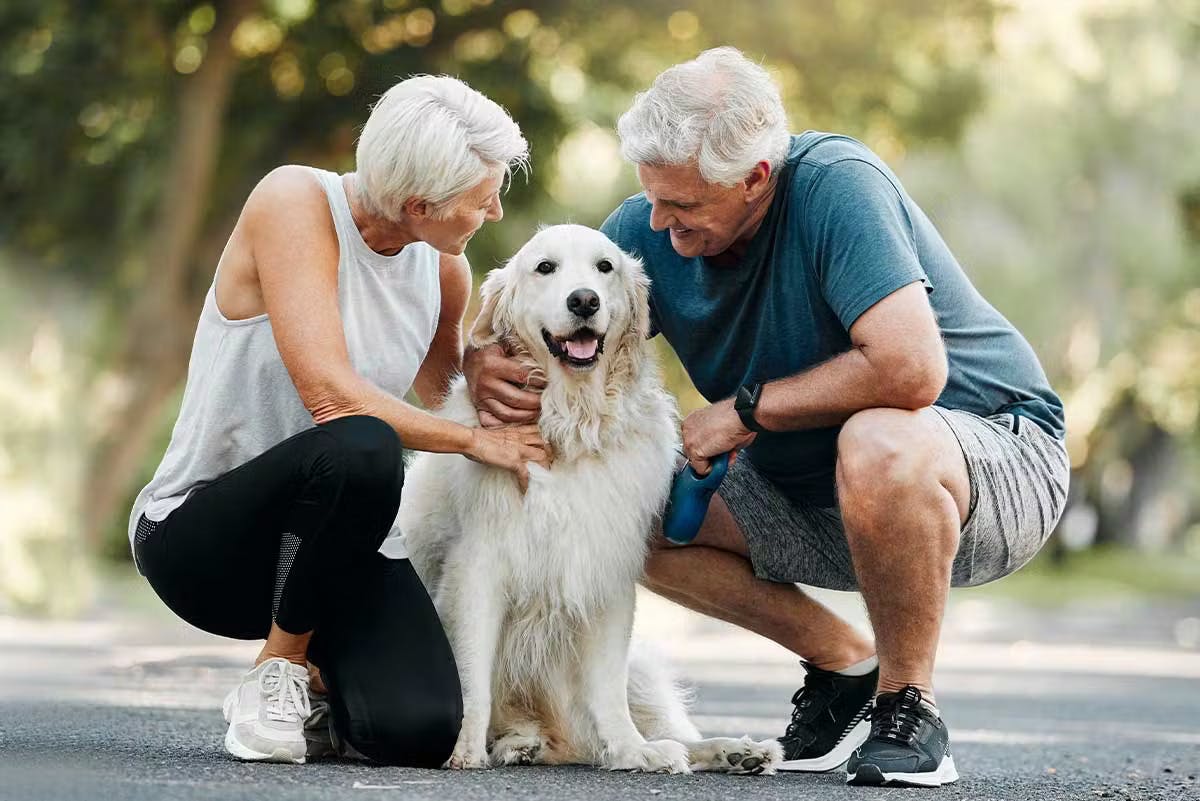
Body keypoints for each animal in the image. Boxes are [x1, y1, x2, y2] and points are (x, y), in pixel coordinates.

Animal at [398, 225, 782, 777]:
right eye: (545, 268)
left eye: (605, 267)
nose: (584, 300)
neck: (572, 425)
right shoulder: (477, 570)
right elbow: (471, 678)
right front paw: (463, 748)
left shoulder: (606, 571)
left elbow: (607, 691)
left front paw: (632, 751)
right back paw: (518, 742)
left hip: (639, 671)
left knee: (658, 731)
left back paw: (732, 750)